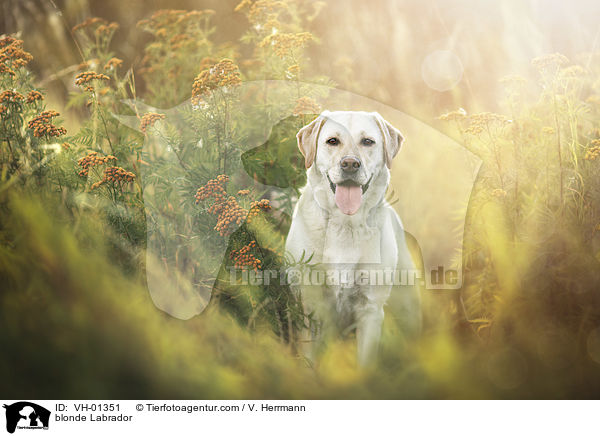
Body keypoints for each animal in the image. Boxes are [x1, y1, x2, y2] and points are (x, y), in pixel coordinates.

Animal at [286, 110, 422, 366]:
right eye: (332, 141)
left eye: (368, 141)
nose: (350, 164)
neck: (344, 224)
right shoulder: (310, 302)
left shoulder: (370, 307)